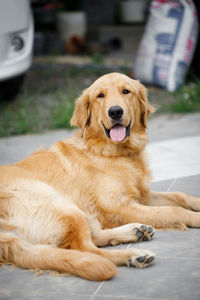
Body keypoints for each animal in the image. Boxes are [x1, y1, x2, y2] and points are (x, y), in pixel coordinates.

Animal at [0, 73, 200, 282]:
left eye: (126, 91)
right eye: (100, 95)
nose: (115, 111)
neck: (113, 152)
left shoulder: (140, 195)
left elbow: (179, 195)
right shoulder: (118, 206)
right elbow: (175, 210)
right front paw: (196, 217)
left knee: (92, 238)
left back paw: (136, 231)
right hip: (61, 204)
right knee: (86, 250)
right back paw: (134, 255)